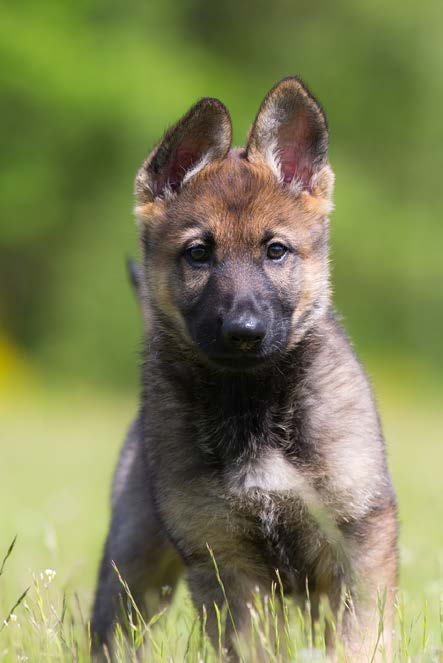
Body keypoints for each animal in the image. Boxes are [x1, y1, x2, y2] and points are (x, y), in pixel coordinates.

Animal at [92, 76, 398, 660]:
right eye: (198, 254)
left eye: (275, 251)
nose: (244, 331)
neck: (251, 400)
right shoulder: (226, 563)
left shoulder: (359, 542)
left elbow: (360, 638)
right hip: (134, 563)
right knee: (113, 628)